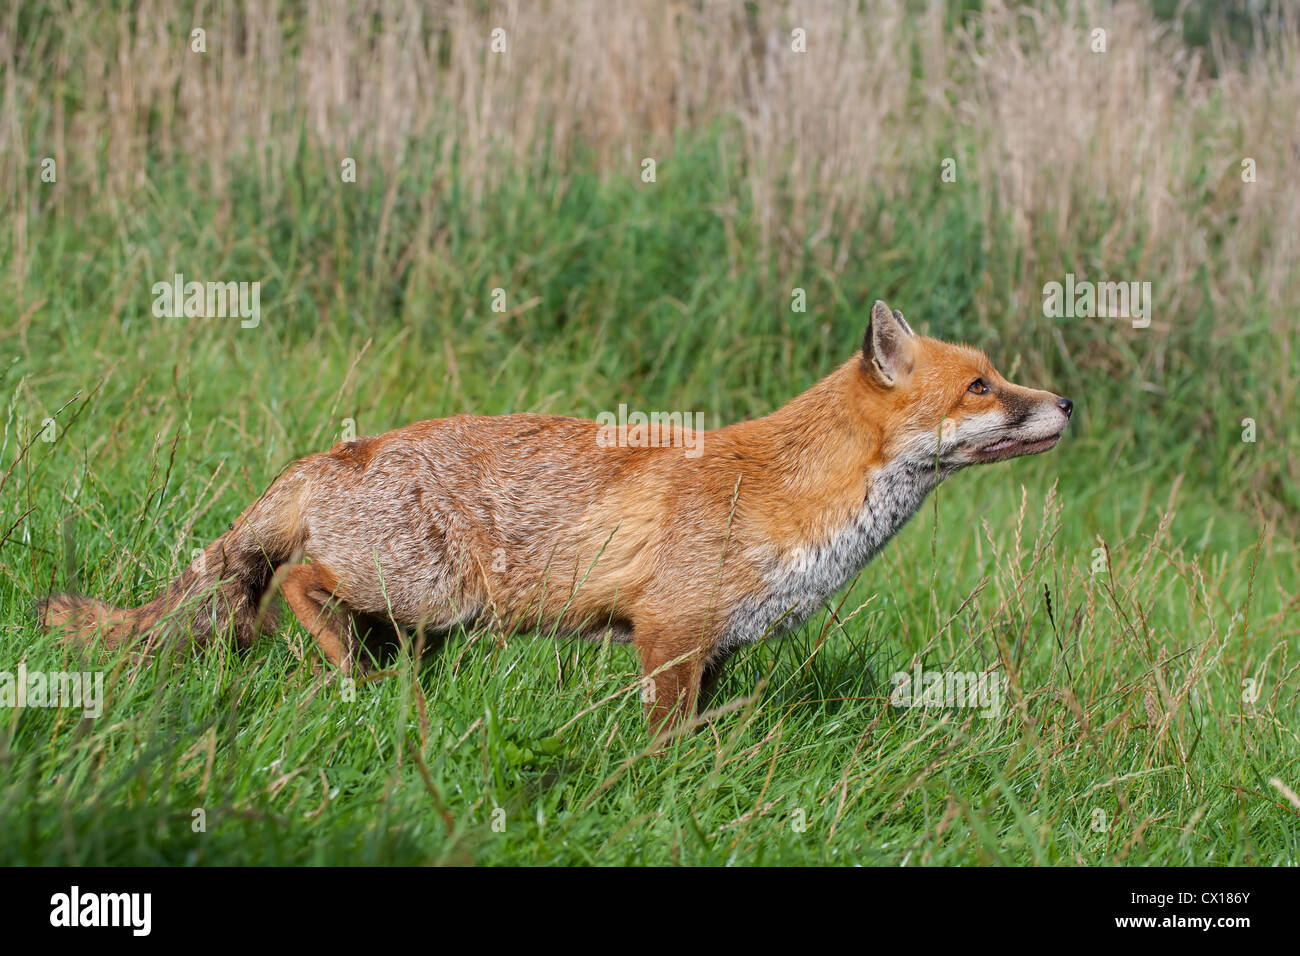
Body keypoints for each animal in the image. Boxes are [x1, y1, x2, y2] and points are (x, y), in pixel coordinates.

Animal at [45, 303, 1071, 738]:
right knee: (295, 582)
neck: (792, 496)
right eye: (981, 386)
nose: (1066, 403)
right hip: (425, 593)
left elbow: (710, 726)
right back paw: (339, 667)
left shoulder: (717, 644)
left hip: (427, 623)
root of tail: (337, 453)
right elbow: (665, 740)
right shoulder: (667, 633)